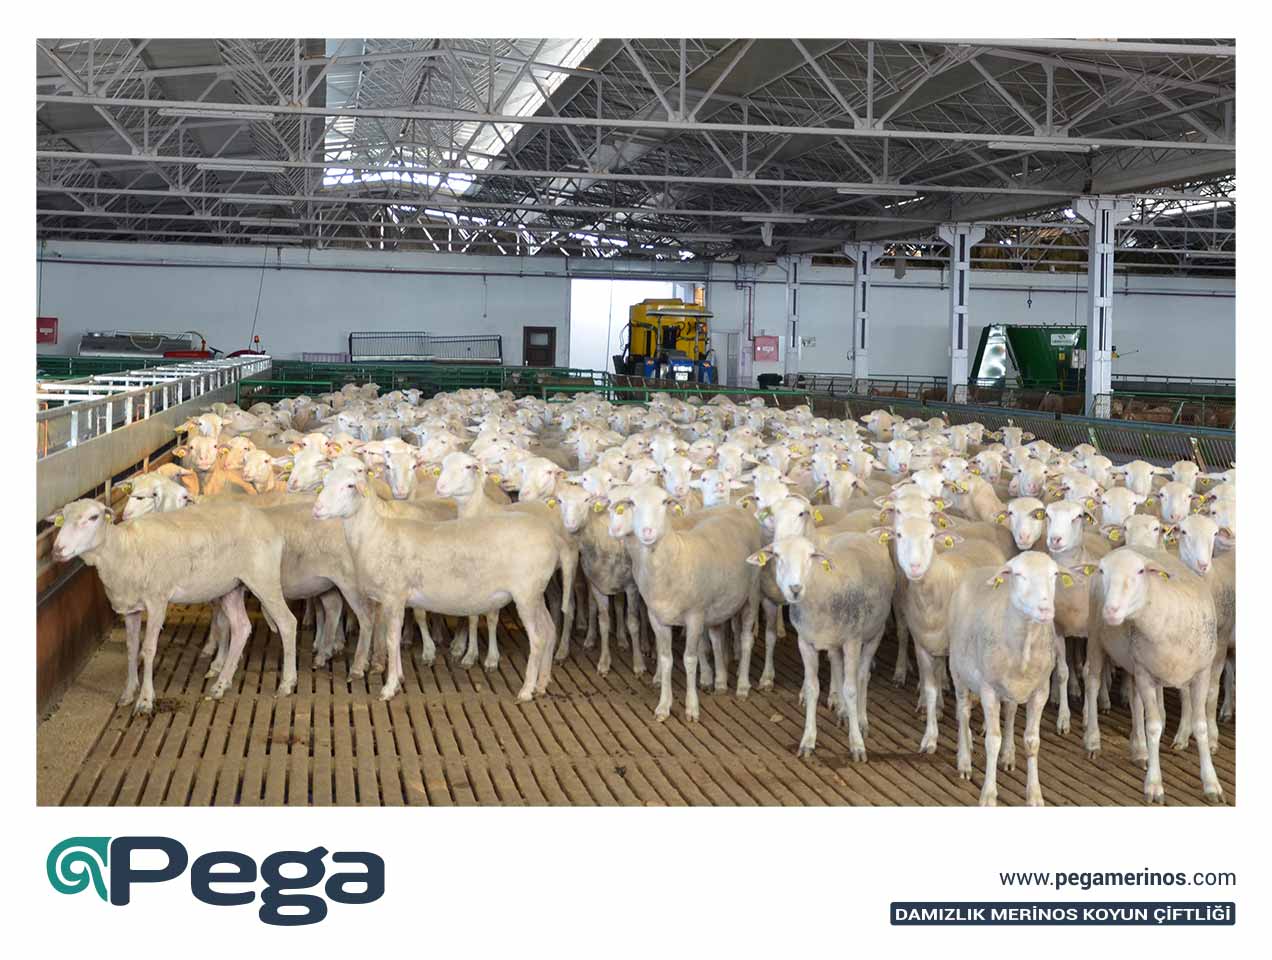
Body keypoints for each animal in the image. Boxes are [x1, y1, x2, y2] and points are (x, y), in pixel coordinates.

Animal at [49, 498, 298, 713]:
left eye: (93, 517)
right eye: (63, 518)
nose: (57, 550)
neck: (123, 548)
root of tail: (267, 521)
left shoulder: (157, 601)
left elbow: (148, 649)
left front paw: (145, 700)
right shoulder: (131, 608)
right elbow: (131, 648)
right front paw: (128, 693)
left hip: (263, 579)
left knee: (287, 623)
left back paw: (287, 683)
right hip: (232, 586)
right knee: (241, 627)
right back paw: (221, 684)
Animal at [313, 468, 560, 702]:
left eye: (350, 485)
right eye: (325, 482)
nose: (317, 509)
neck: (375, 534)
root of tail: (551, 538)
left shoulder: (393, 596)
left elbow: (391, 639)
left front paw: (389, 688)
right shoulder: (396, 600)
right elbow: (394, 638)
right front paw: (399, 679)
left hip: (526, 594)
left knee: (538, 638)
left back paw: (526, 690)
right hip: (536, 594)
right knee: (549, 629)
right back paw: (542, 684)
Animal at [750, 532, 894, 759]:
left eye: (811, 555)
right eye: (777, 556)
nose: (795, 589)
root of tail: (859, 533)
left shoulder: (852, 641)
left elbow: (851, 689)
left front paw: (857, 744)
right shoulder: (805, 642)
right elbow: (812, 689)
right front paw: (808, 740)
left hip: (874, 633)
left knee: (863, 676)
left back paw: (861, 719)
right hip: (834, 642)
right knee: (837, 666)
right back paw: (842, 711)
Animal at [948, 552, 1079, 806]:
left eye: (1054, 574)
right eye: (1018, 574)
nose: (1045, 609)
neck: (1024, 642)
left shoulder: (1040, 691)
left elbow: (1032, 742)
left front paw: (1035, 795)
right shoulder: (988, 690)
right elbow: (992, 741)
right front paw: (988, 795)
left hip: (1010, 689)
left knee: (1009, 713)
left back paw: (1008, 755)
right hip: (957, 671)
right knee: (963, 711)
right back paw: (964, 760)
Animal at [1083, 547, 1223, 803]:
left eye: (1140, 571)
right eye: (1102, 570)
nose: (1111, 611)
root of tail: (1125, 546)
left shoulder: (1201, 673)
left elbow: (1200, 727)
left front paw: (1211, 783)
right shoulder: (1146, 674)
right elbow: (1154, 727)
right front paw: (1154, 785)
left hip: (1134, 662)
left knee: (1135, 701)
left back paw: (1139, 750)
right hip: (1096, 636)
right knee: (1093, 681)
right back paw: (1093, 741)